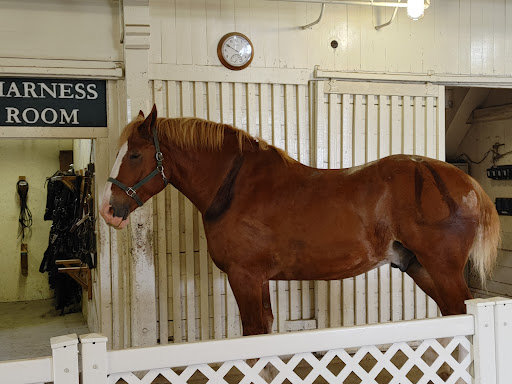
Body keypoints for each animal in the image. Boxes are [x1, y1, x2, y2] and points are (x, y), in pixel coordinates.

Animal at [100, 105, 500, 336]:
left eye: (134, 154)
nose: (107, 209)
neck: (235, 186)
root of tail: (463, 182)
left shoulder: (244, 277)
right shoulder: (257, 279)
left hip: (443, 270)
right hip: (421, 268)